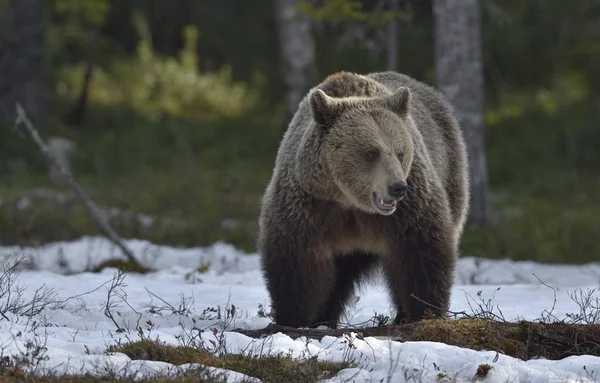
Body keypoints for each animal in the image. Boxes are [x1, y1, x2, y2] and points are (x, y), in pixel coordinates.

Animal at [256, 70, 468, 328]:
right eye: (371, 153)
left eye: (400, 152)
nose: (398, 188)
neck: (350, 201)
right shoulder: (309, 205)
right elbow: (296, 261)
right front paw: (294, 318)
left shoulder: (409, 209)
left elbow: (421, 252)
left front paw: (424, 312)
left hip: (450, 170)